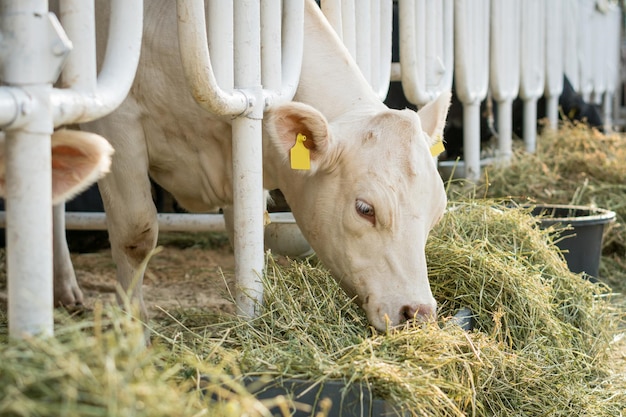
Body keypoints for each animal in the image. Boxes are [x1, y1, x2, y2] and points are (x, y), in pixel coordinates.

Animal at [54, 0, 448, 332]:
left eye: (437, 213)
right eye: (365, 209)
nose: (417, 313)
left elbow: (251, 233)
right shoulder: (115, 124)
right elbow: (135, 235)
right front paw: (136, 334)